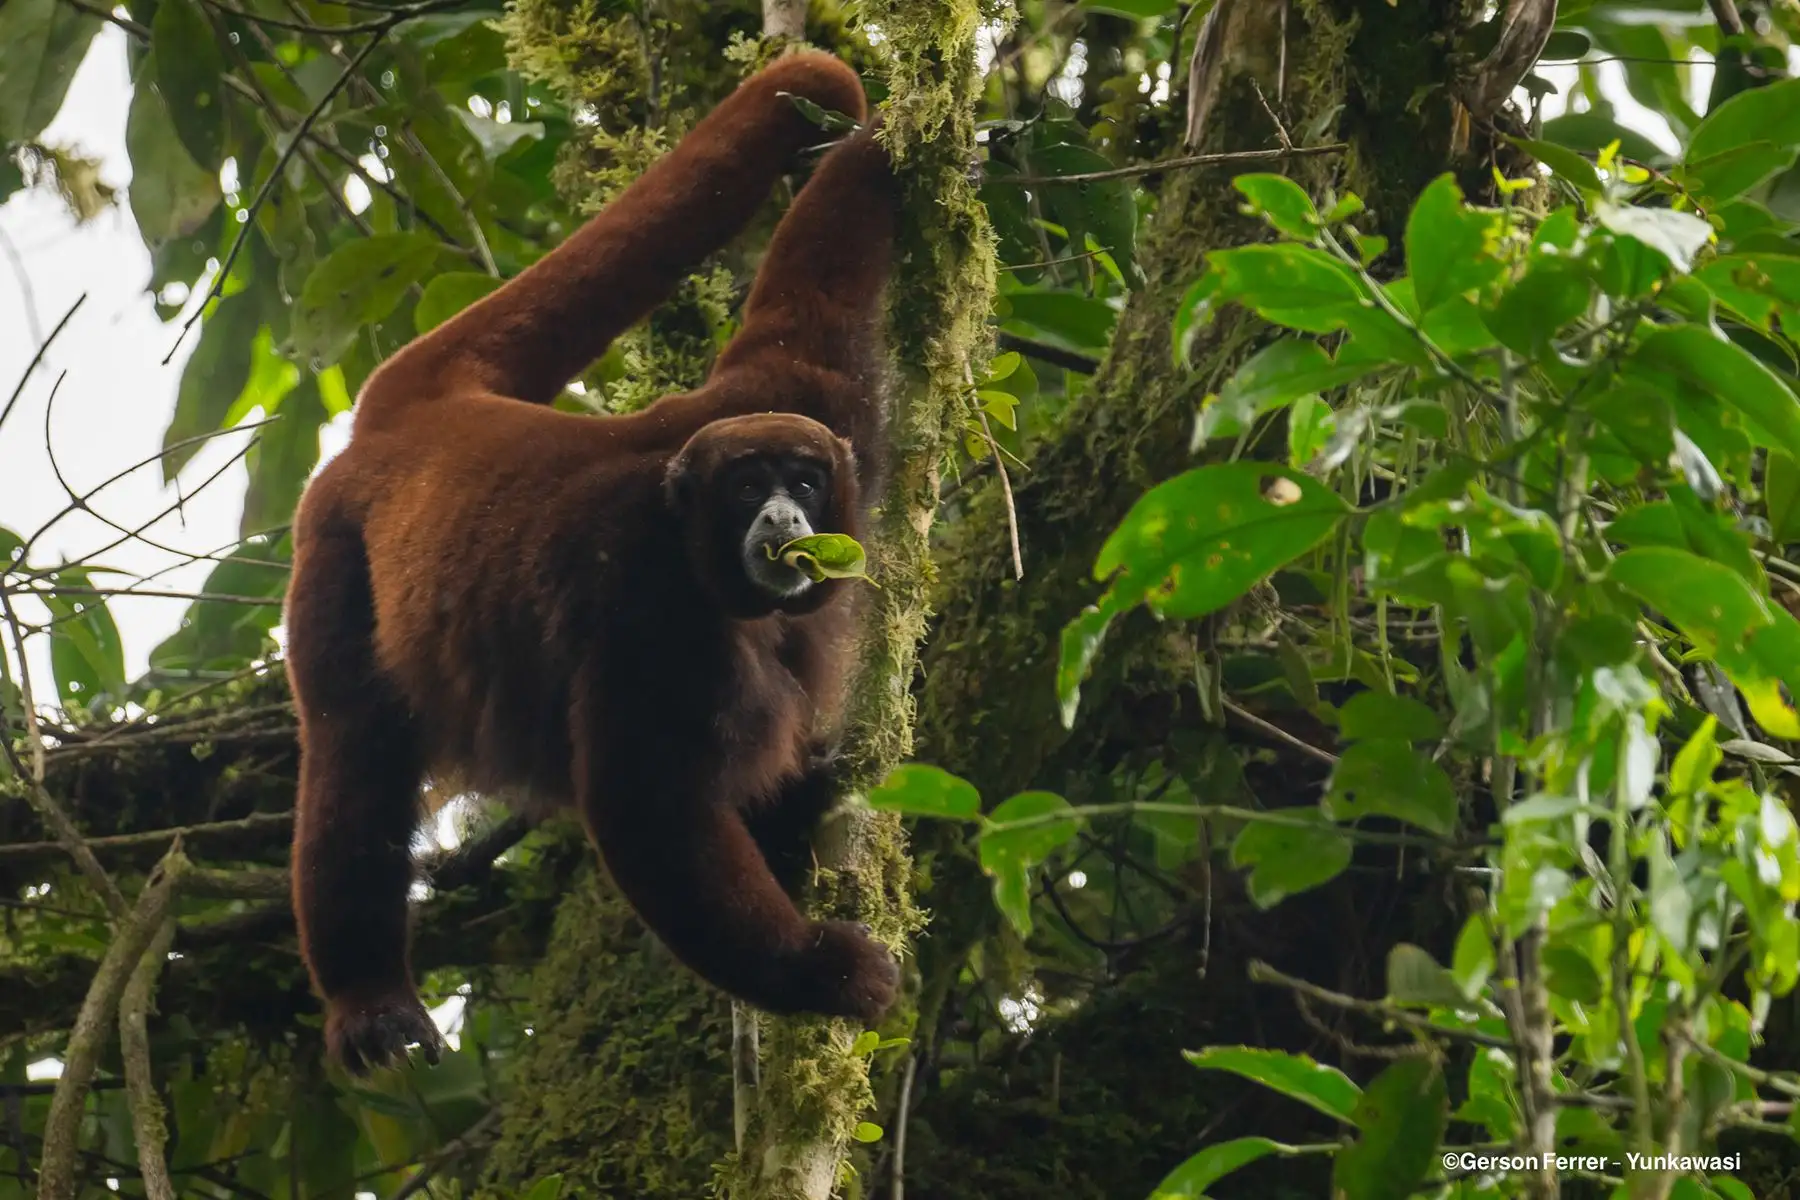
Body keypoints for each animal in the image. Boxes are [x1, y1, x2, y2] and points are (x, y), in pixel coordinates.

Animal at [282, 52, 900, 1074]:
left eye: (805, 482)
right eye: (747, 487)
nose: (781, 516)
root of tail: (426, 417)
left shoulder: (809, 403)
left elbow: (810, 309)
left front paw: (900, 132)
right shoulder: (646, 611)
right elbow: (644, 808)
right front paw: (820, 970)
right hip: (330, 554)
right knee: (353, 750)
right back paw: (369, 1000)